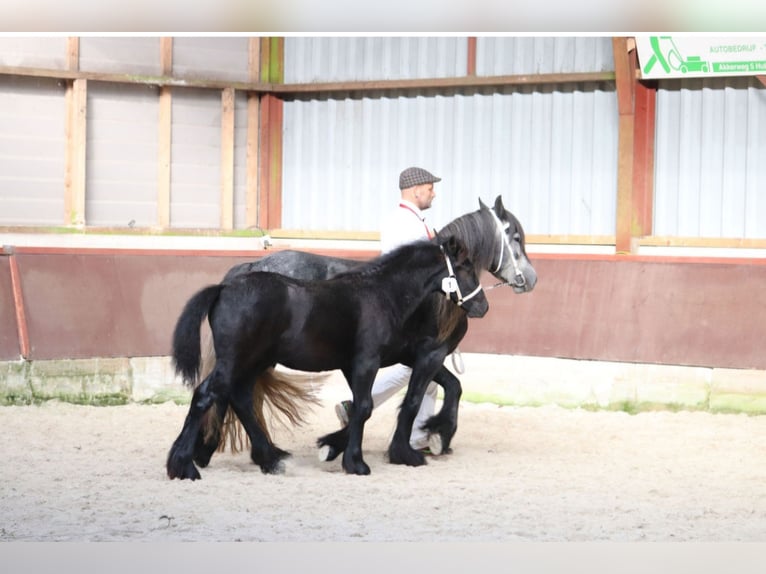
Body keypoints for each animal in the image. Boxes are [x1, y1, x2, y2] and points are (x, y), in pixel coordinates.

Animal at [170, 236, 488, 480]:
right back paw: (184, 465)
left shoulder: (356, 364)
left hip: (253, 363)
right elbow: (367, 406)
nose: (482, 306)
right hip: (236, 361)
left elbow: (365, 406)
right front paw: (358, 462)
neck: (382, 295)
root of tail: (224, 288)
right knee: (206, 395)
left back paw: (270, 460)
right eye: (465, 268)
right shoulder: (368, 362)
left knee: (241, 399)